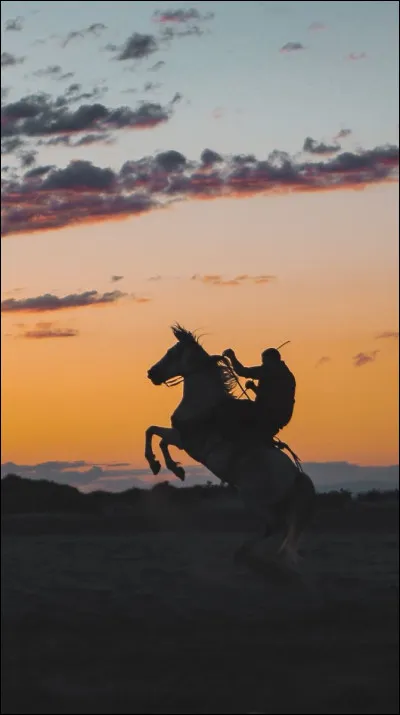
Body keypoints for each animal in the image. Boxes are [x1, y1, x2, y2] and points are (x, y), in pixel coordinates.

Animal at [145, 324, 318, 572]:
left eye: (171, 353)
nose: (151, 373)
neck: (204, 404)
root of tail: (296, 477)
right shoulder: (181, 438)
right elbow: (157, 437)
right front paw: (175, 469)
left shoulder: (185, 439)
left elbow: (152, 432)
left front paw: (158, 464)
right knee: (280, 528)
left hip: (254, 498)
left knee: (272, 526)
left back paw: (243, 553)